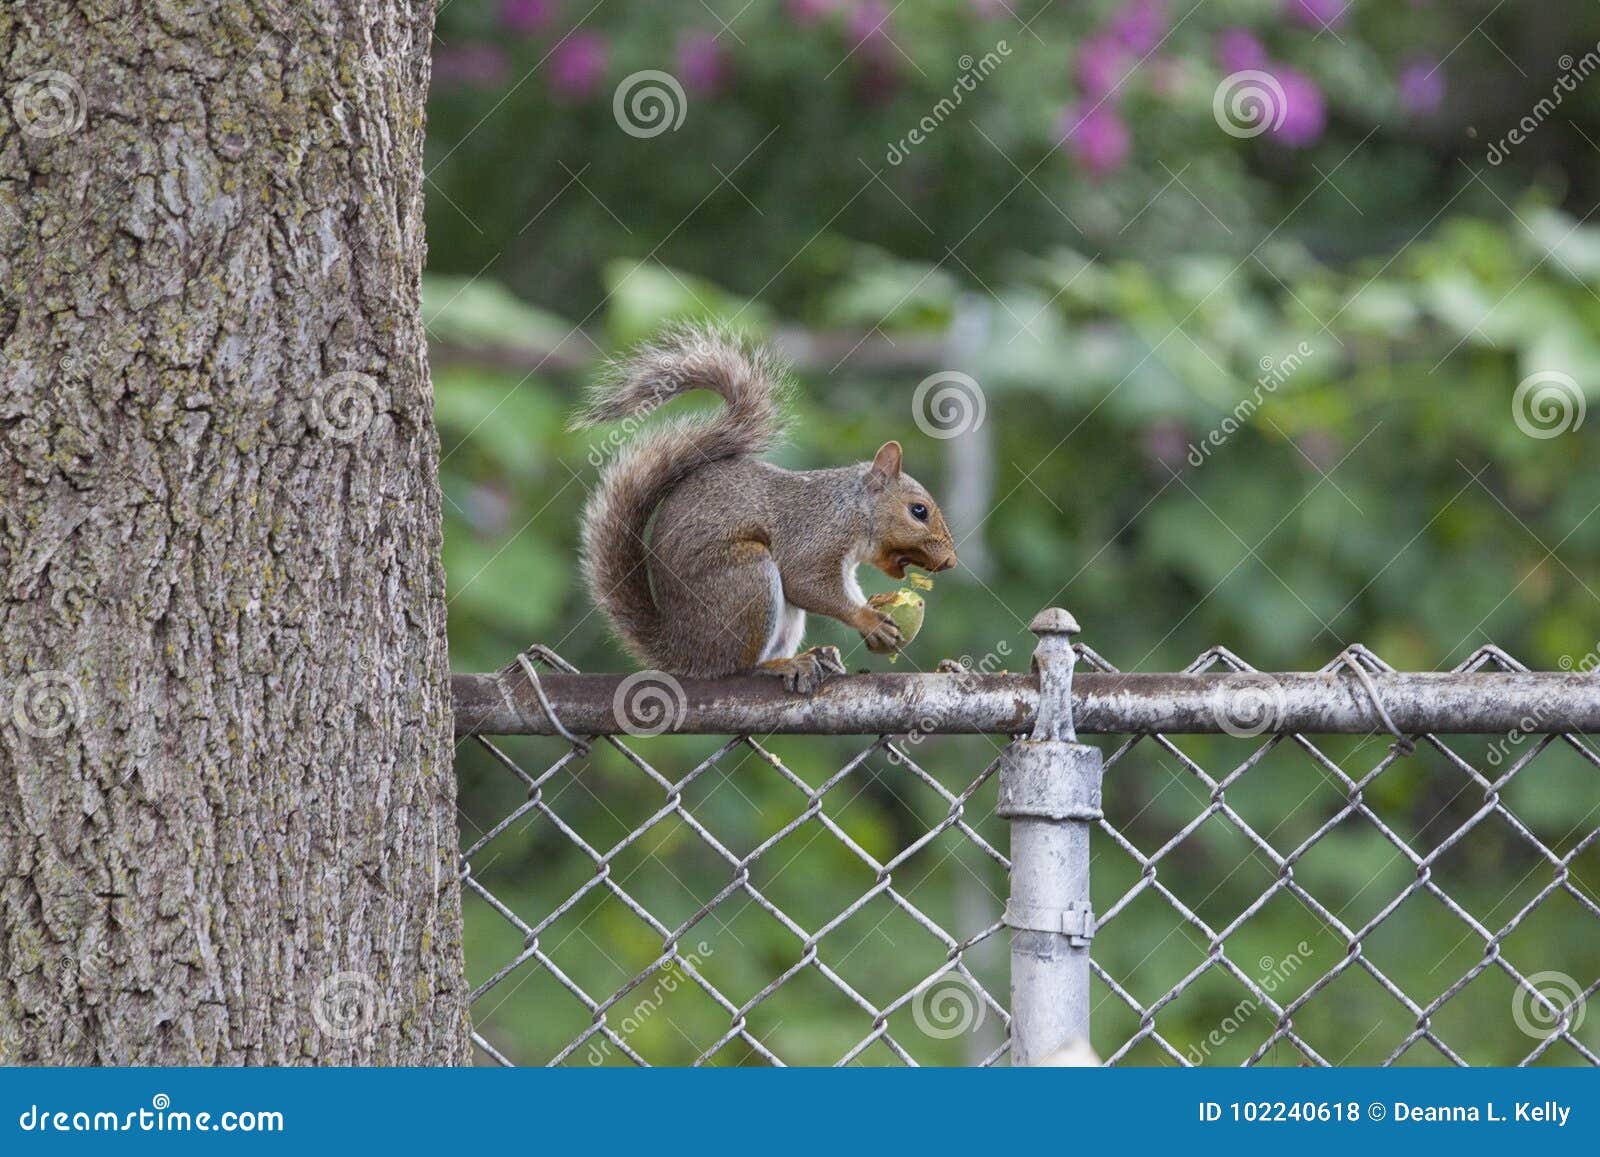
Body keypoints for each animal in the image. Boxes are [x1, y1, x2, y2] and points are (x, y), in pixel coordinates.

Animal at [572, 326, 958, 693]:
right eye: (919, 511)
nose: (951, 561)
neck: (851, 509)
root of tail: (684, 651)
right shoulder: (814, 535)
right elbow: (805, 583)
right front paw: (869, 620)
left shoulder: (845, 566)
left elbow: (847, 589)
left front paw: (872, 612)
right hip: (748, 579)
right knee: (738, 667)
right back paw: (780, 665)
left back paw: (815, 656)